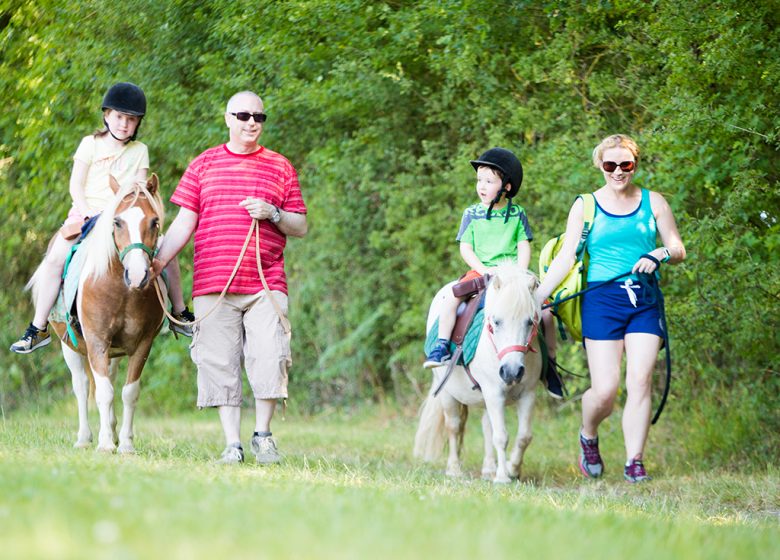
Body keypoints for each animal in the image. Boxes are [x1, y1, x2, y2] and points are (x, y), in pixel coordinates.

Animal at [30, 177, 165, 452]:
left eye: (154, 221)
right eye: (117, 222)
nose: (138, 275)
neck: (123, 291)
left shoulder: (143, 344)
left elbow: (128, 392)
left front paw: (125, 444)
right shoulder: (96, 341)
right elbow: (103, 392)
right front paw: (104, 444)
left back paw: (111, 431)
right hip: (70, 346)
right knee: (81, 386)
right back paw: (85, 438)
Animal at [414, 264, 544, 484]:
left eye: (529, 321)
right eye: (496, 322)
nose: (511, 372)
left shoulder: (528, 394)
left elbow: (524, 436)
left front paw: (513, 470)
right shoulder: (494, 392)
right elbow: (501, 436)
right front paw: (502, 477)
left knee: (486, 426)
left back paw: (488, 469)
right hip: (448, 392)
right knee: (453, 426)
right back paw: (454, 469)